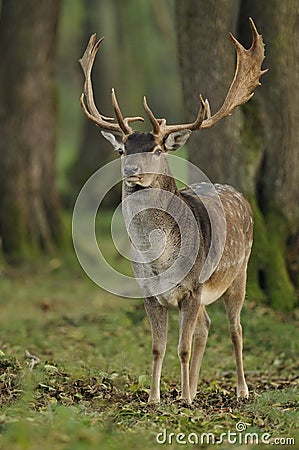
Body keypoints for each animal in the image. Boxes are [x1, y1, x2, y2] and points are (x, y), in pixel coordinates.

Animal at [79, 17, 268, 404]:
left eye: (155, 149)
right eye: (122, 150)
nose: (130, 171)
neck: (160, 260)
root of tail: (239, 195)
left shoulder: (193, 289)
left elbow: (181, 347)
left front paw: (183, 400)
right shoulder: (149, 293)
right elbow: (158, 347)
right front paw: (156, 398)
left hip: (239, 271)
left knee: (236, 328)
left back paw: (240, 389)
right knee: (206, 327)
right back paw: (193, 386)